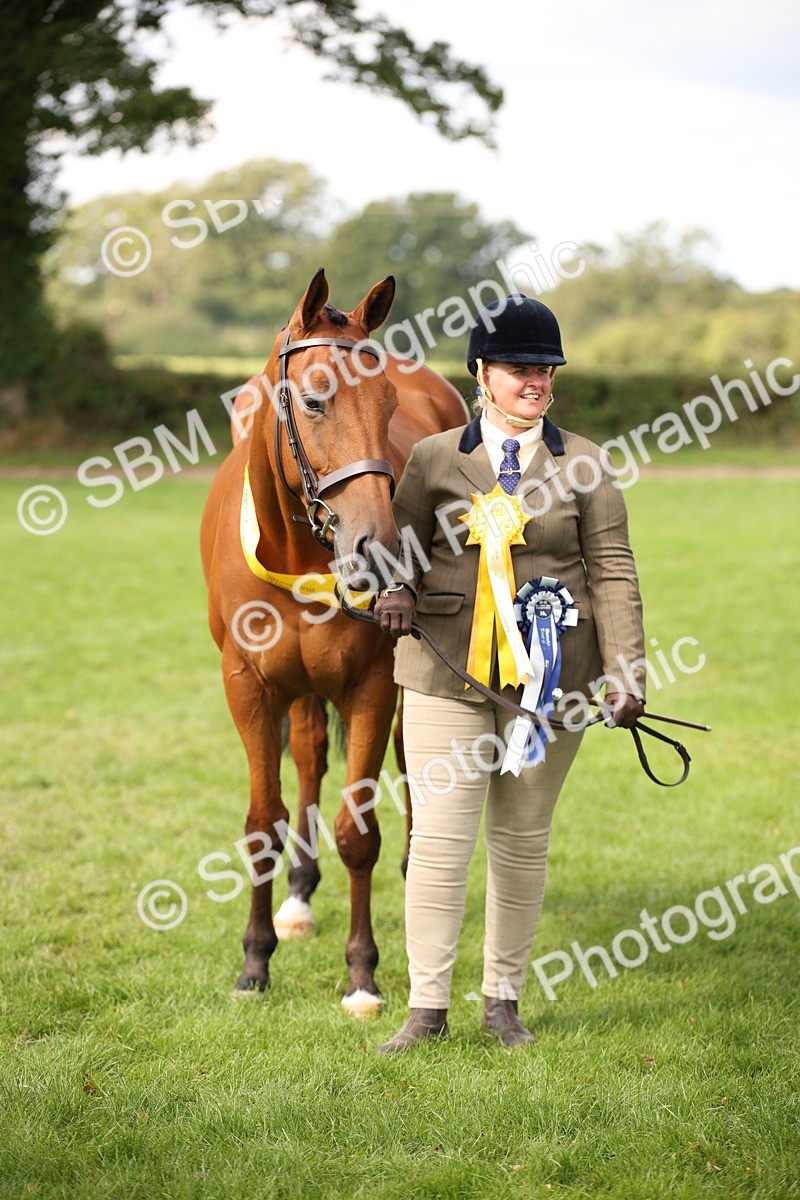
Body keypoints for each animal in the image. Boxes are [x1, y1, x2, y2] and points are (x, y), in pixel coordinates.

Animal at [200, 268, 469, 1013]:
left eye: (387, 403)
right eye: (315, 400)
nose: (379, 547)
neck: (297, 554)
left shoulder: (370, 683)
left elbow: (358, 832)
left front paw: (362, 976)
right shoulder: (250, 686)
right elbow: (263, 822)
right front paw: (255, 961)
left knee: (405, 753)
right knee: (310, 754)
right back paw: (296, 900)